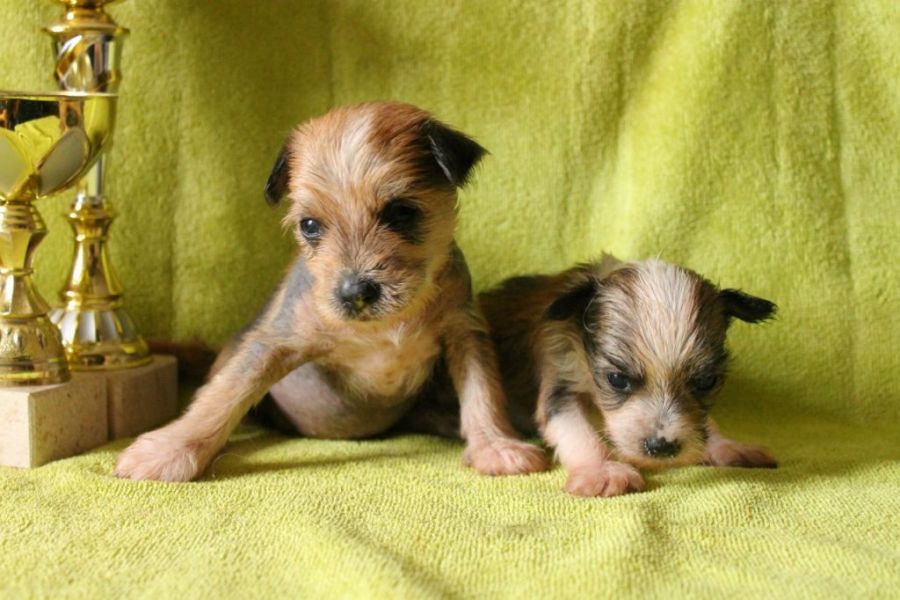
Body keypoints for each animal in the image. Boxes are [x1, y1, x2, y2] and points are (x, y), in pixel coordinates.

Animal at [116, 101, 548, 482]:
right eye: (309, 225)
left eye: (401, 212)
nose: (355, 292)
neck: (385, 324)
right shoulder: (275, 341)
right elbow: (223, 396)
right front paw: (168, 452)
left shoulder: (465, 334)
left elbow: (482, 393)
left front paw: (496, 445)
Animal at [479, 255, 778, 497]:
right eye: (617, 380)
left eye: (706, 382)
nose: (661, 447)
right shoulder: (561, 380)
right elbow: (578, 430)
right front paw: (603, 470)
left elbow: (705, 422)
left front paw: (728, 445)